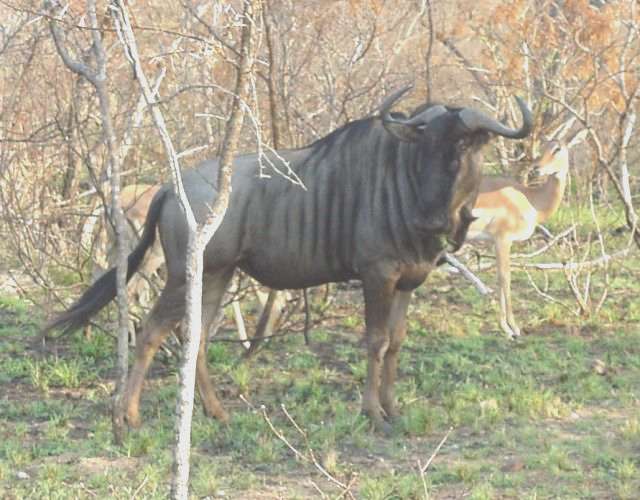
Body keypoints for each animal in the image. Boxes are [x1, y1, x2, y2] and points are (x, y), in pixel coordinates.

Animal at [466, 140, 570, 338]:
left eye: (557, 148)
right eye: (544, 147)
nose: (536, 168)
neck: (531, 200)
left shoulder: (495, 242)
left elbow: (500, 277)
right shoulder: (503, 239)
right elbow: (505, 277)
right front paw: (511, 328)